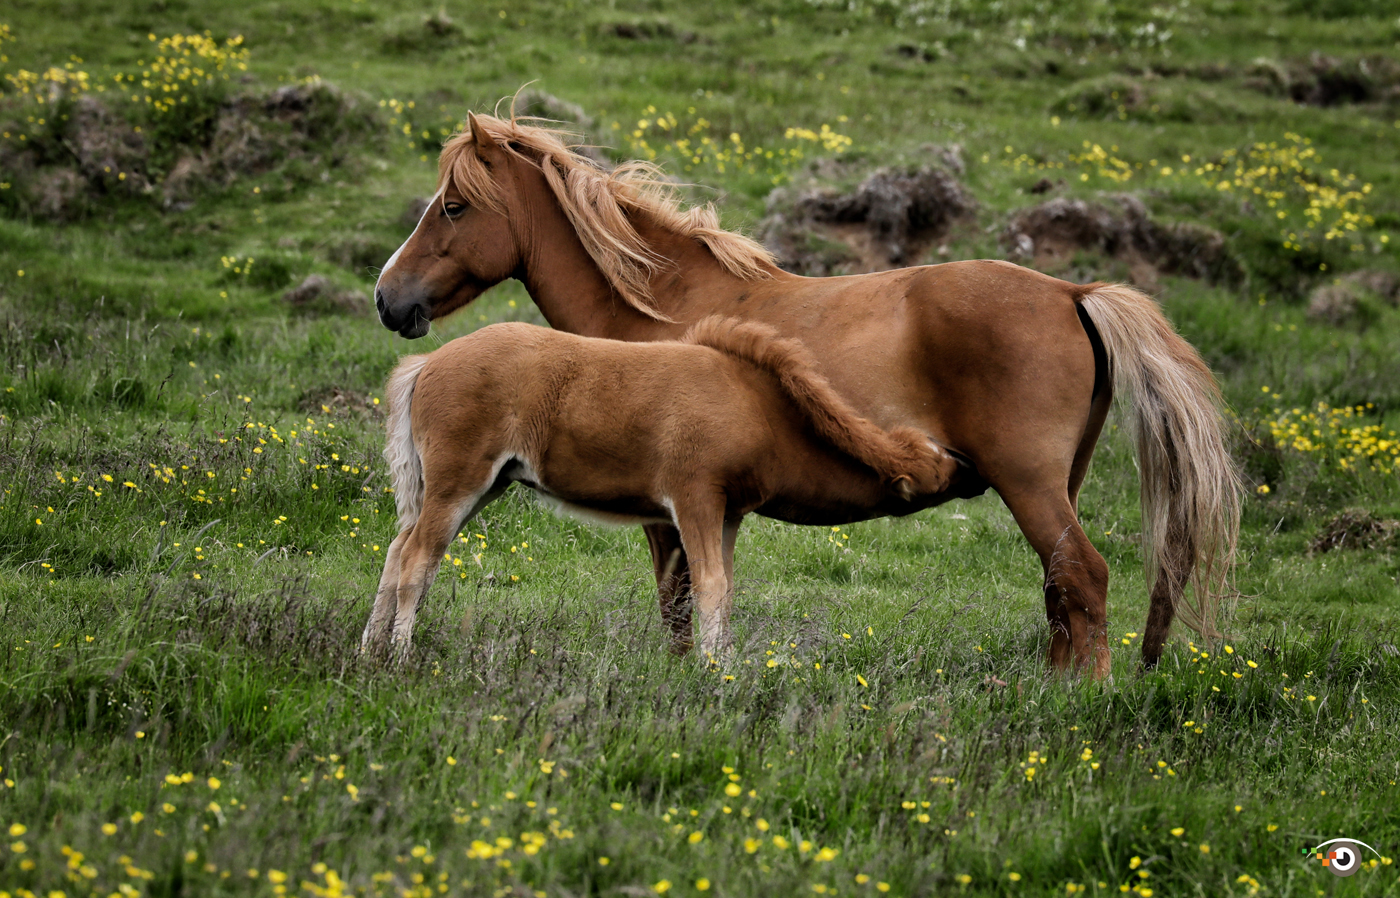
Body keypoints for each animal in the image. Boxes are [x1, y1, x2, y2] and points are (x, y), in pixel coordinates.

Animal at [361, 315, 963, 658]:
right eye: (932, 473)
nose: (968, 468)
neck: (758, 405)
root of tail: (428, 361)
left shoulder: (726, 514)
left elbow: (719, 590)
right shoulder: (695, 500)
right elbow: (711, 588)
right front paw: (716, 675)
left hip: (477, 488)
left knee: (397, 549)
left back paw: (369, 653)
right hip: (459, 484)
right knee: (417, 558)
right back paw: (400, 657)